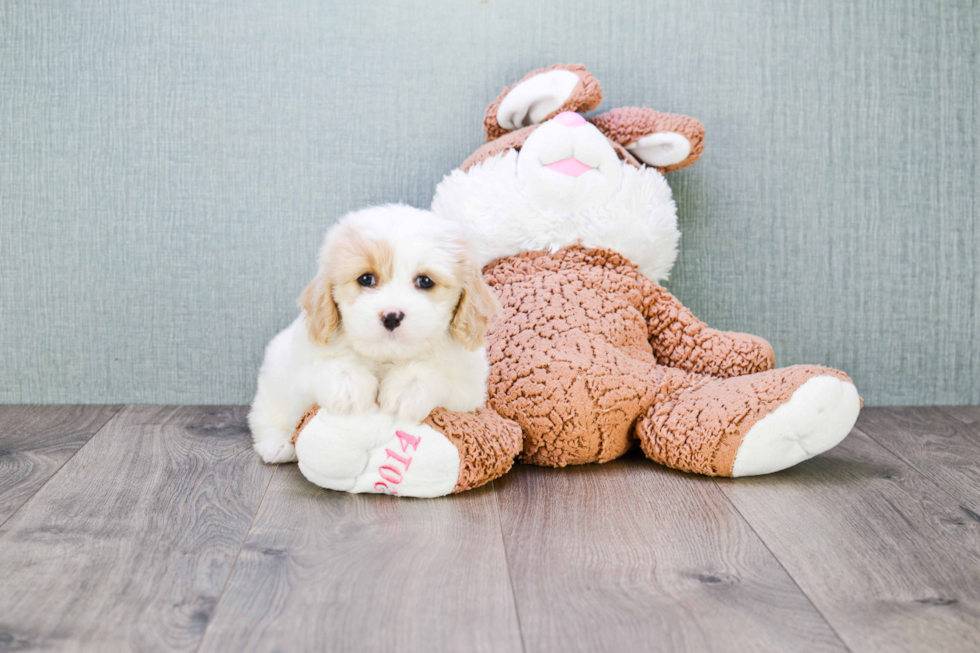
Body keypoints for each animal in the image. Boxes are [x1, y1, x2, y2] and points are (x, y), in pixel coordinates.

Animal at [249, 204, 502, 464]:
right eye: (366, 278)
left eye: (425, 281)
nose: (391, 316)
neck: (386, 357)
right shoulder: (301, 371)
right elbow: (327, 365)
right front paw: (349, 383)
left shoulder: (469, 389)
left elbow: (436, 374)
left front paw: (407, 387)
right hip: (272, 378)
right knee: (264, 415)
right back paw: (277, 443)